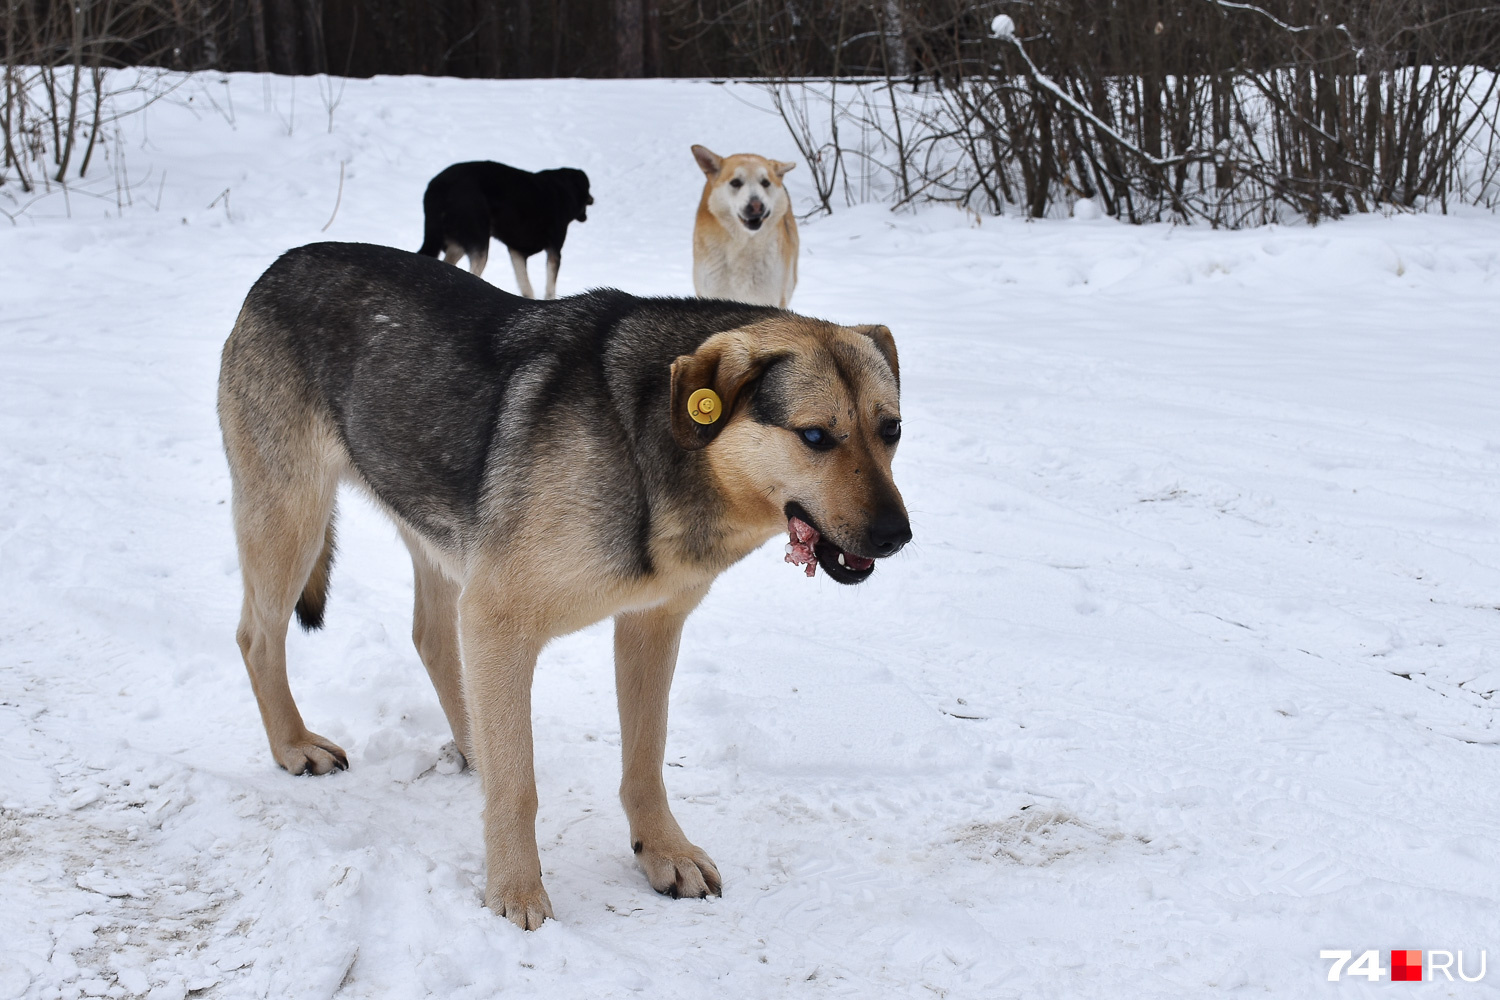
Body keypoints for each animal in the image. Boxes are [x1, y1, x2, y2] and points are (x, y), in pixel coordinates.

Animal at [217, 239, 906, 929]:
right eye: (815, 436)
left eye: (892, 429)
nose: (897, 535)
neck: (651, 439)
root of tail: (284, 261)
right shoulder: (499, 615)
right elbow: (519, 786)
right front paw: (516, 892)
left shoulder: (648, 626)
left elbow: (645, 760)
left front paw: (663, 852)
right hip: (293, 518)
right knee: (257, 637)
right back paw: (294, 746)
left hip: (434, 530)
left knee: (433, 640)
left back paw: (472, 745)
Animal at [420, 160, 594, 299]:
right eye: (589, 188)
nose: (593, 199)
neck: (565, 189)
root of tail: (437, 187)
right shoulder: (554, 251)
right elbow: (550, 289)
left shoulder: (516, 251)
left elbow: (526, 287)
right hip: (478, 242)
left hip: (455, 244)